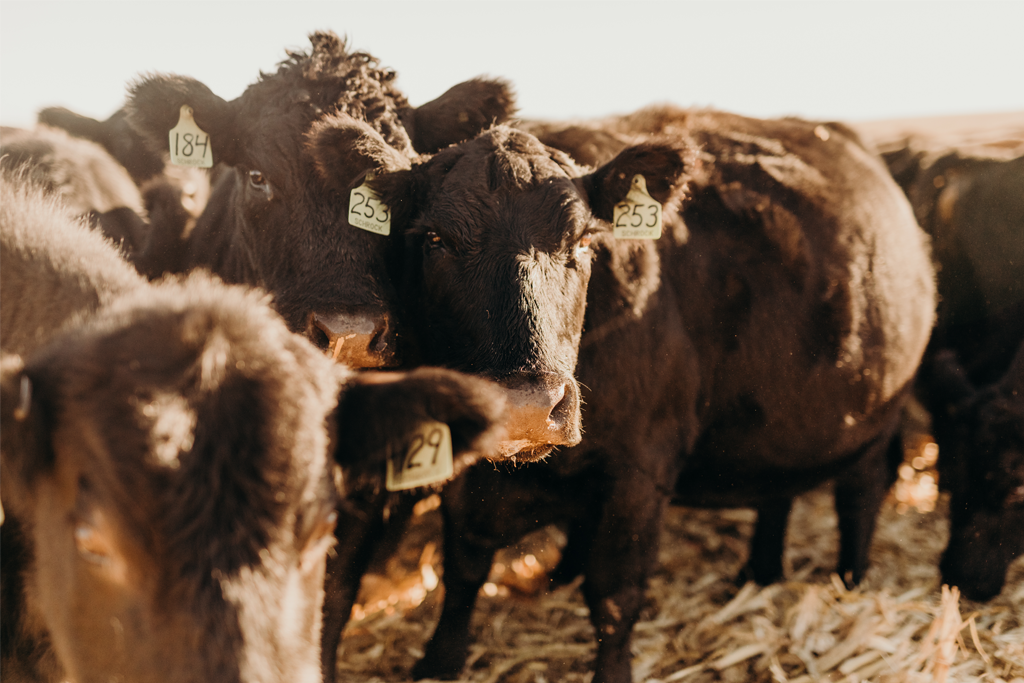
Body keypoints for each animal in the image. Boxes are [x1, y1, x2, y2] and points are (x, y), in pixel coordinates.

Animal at [348, 108, 937, 683]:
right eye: (434, 241)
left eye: (583, 241)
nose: (531, 405)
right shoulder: (464, 471)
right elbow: (464, 568)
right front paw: (437, 663)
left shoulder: (640, 468)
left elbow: (614, 594)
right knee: (778, 492)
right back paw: (759, 574)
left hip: (877, 420)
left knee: (861, 494)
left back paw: (850, 581)